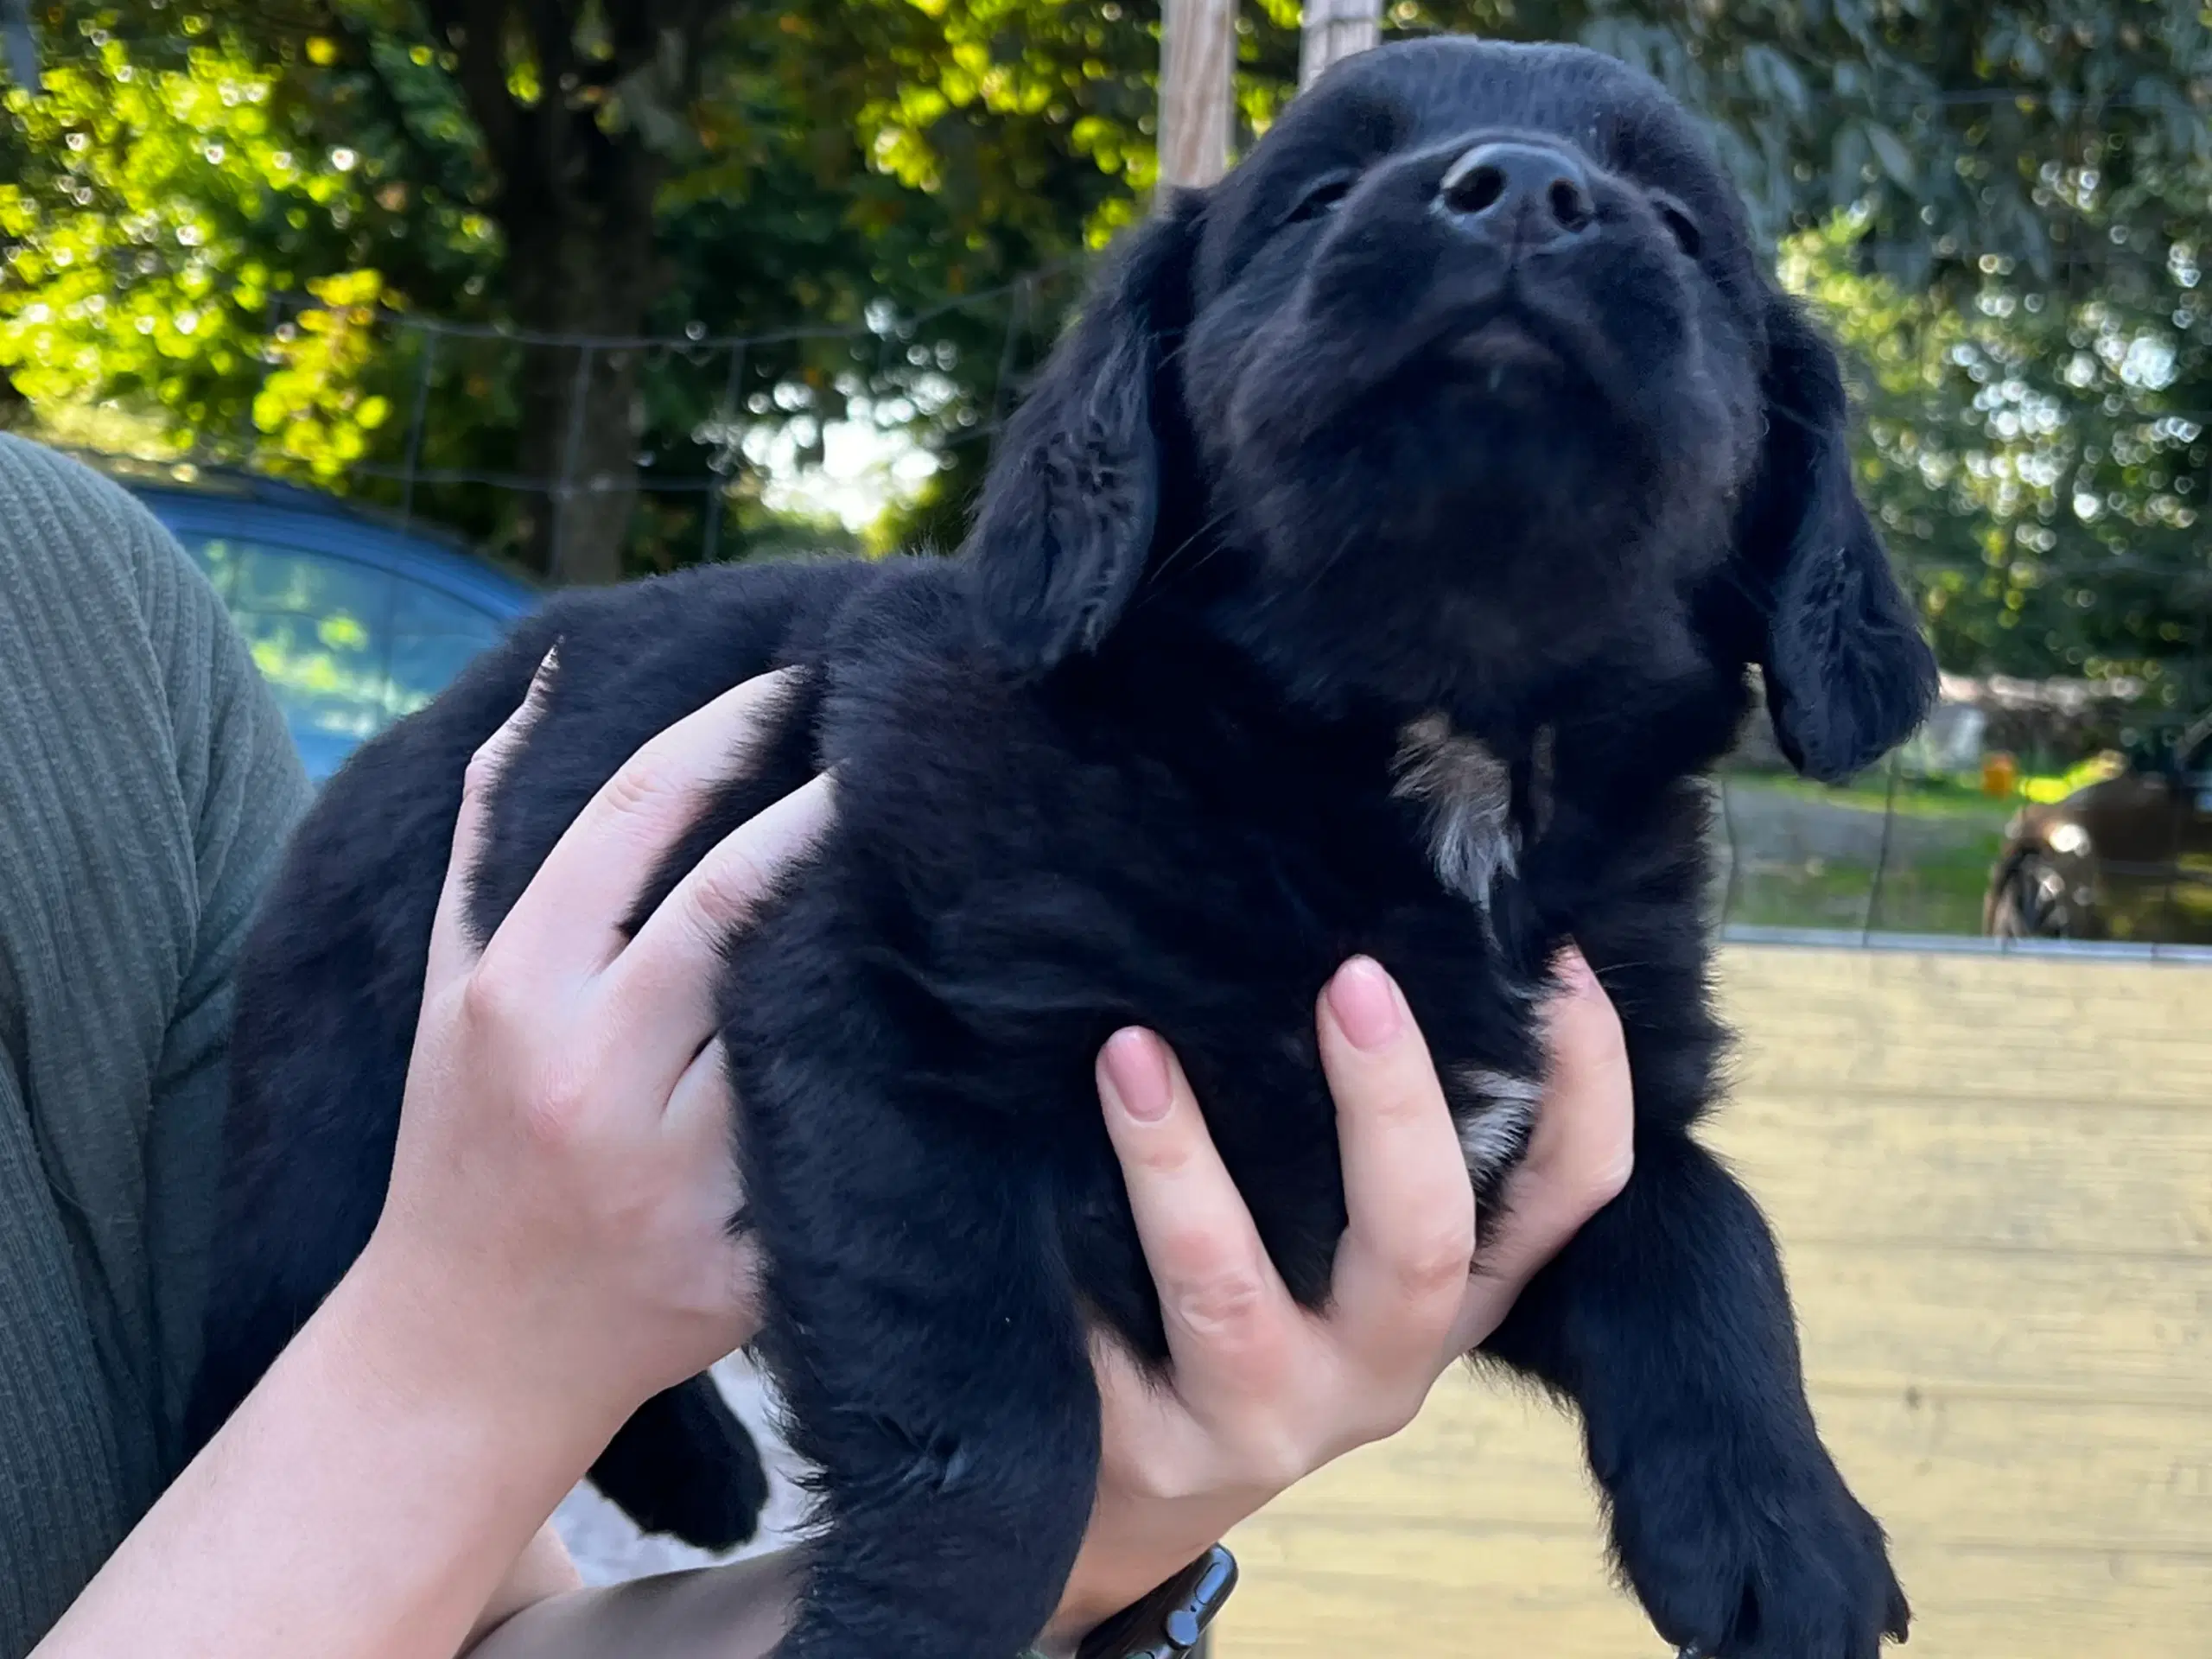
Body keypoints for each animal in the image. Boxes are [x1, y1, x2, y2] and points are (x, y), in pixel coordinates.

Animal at [190, 35, 1929, 1659]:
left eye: (1684, 227)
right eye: (1313, 195)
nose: (1521, 191)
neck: (1430, 759)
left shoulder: (1530, 1146)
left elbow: (1709, 1230)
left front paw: (1786, 1535)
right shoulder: (871, 1024)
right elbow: (1006, 1434)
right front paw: (903, 1630)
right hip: (331, 1165)